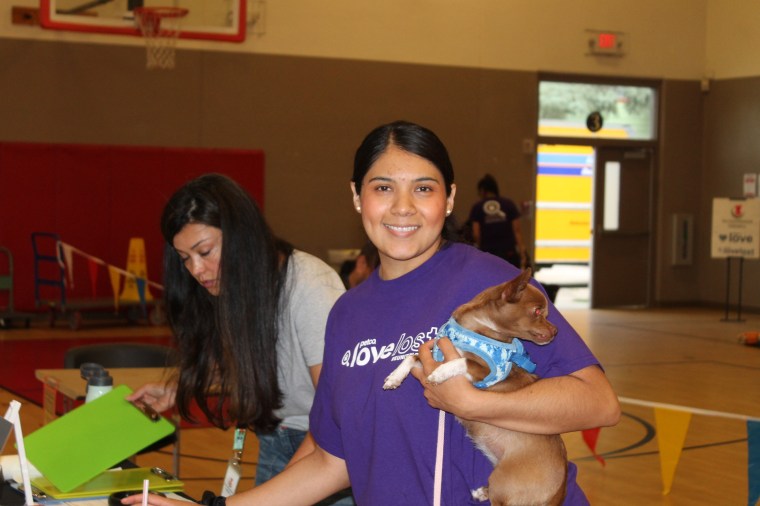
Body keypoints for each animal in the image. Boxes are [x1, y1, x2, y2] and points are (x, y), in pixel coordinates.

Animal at [383, 268, 567, 506]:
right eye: (537, 311)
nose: (556, 330)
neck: (475, 330)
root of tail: (559, 492)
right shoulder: (432, 356)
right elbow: (412, 356)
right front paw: (394, 377)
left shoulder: (488, 372)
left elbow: (463, 361)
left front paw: (441, 373)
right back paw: (482, 492)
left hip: (502, 482)